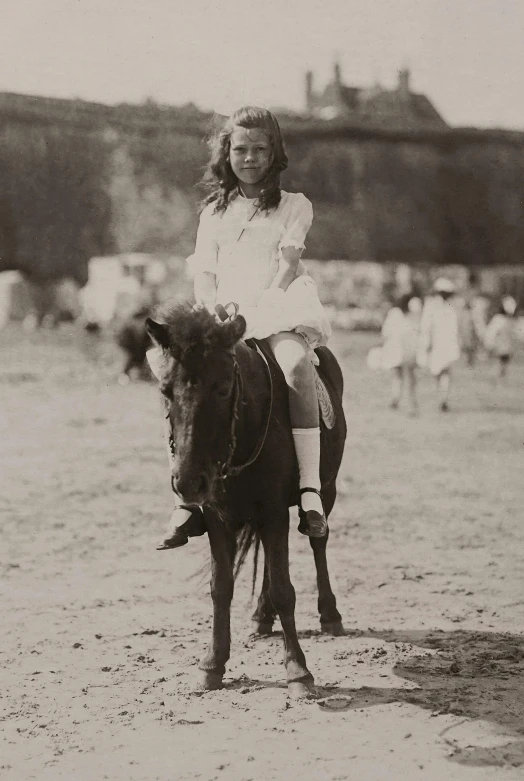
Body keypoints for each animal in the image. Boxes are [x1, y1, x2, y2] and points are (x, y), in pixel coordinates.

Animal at [145, 302, 346, 696]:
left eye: (224, 389)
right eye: (165, 389)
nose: (188, 482)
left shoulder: (273, 511)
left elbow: (285, 588)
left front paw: (298, 671)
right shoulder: (217, 516)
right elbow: (220, 587)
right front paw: (212, 664)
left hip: (326, 489)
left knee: (319, 542)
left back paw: (329, 614)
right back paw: (261, 616)